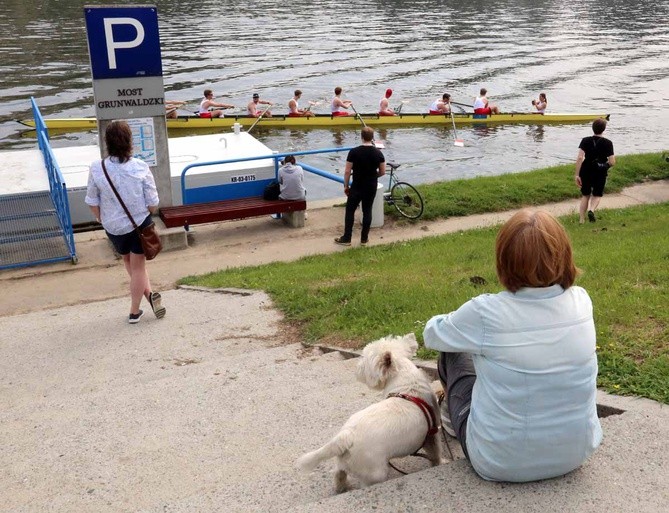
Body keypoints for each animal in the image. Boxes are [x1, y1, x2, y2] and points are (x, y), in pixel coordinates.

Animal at [294, 332, 440, 492]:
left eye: (364, 361)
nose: (357, 368)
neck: (407, 387)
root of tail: (346, 436)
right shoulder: (431, 435)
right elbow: (435, 454)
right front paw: (438, 464)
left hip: (346, 461)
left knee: (339, 472)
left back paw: (342, 488)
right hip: (374, 473)